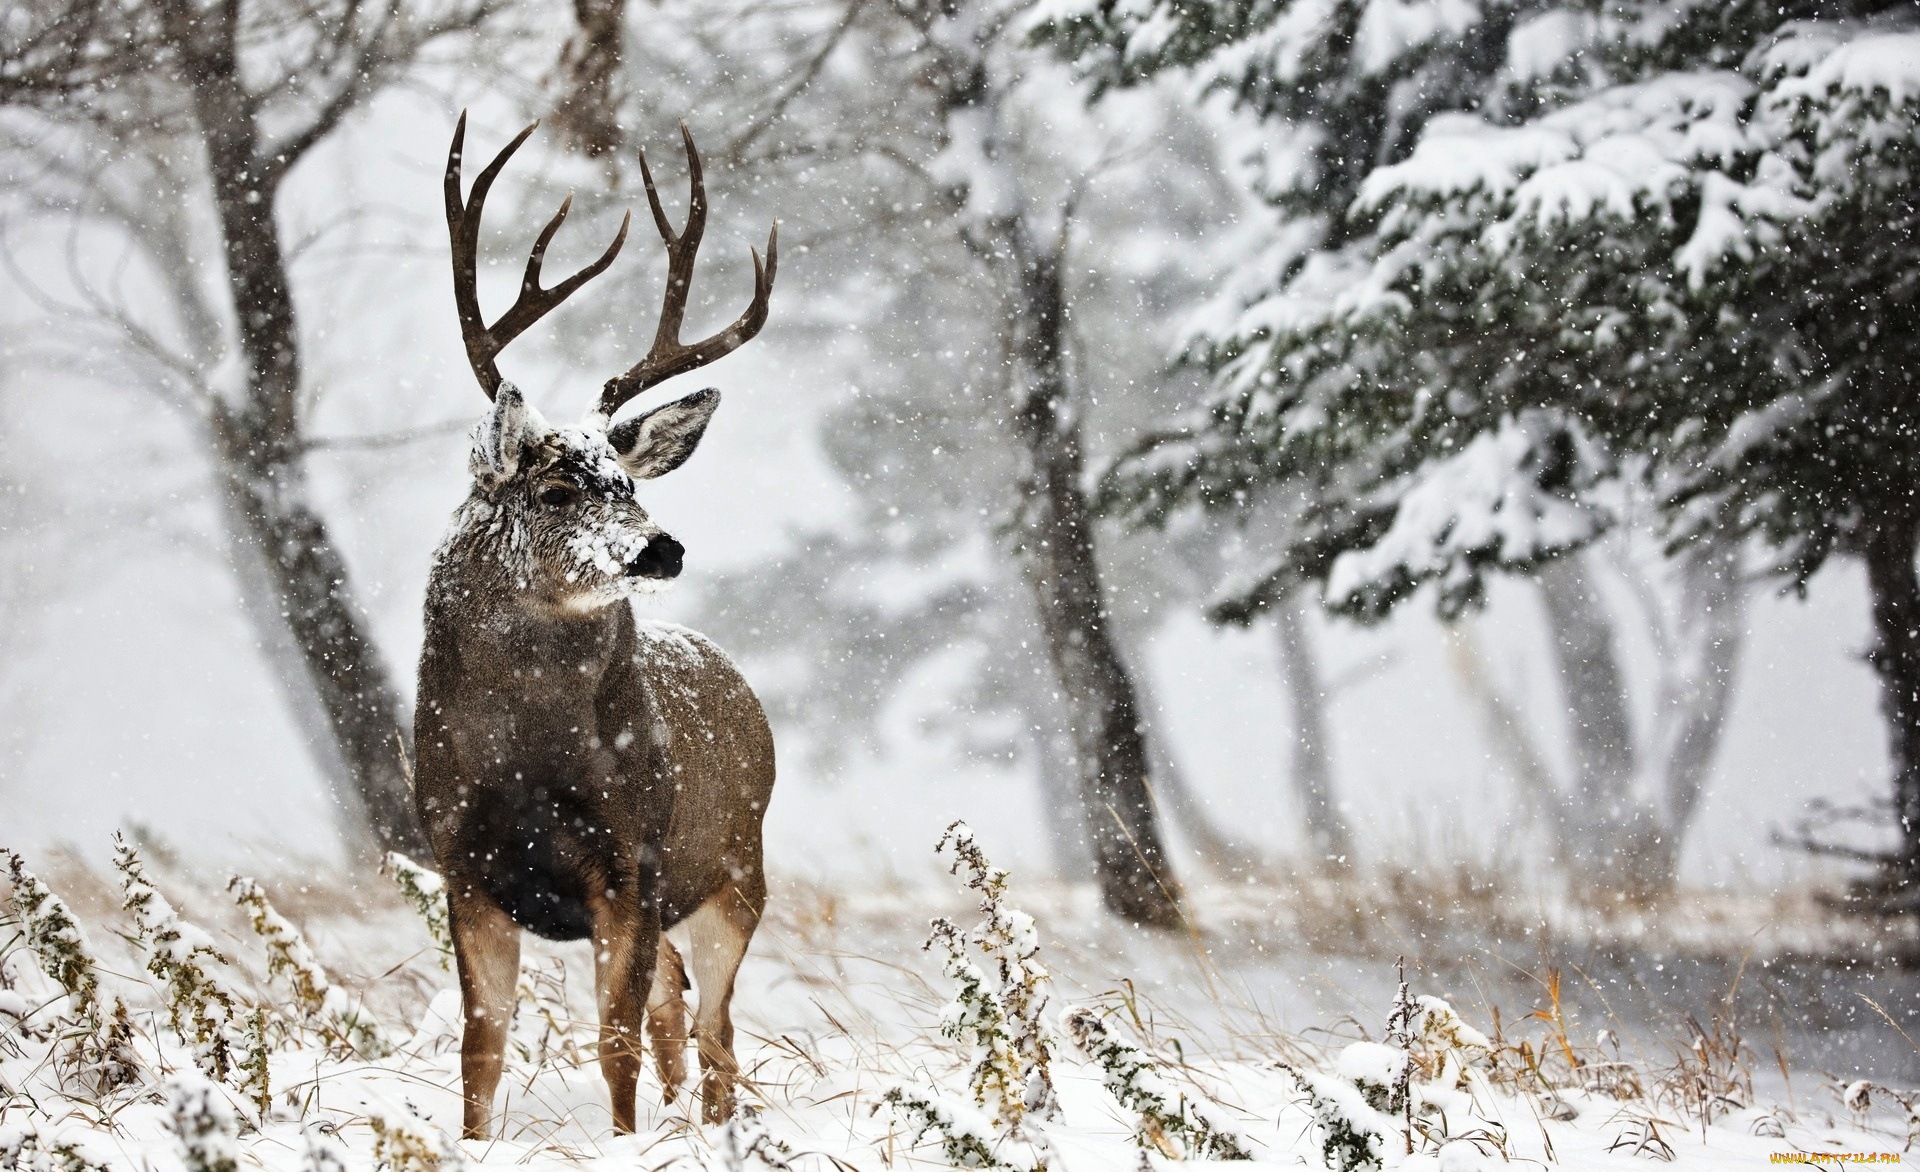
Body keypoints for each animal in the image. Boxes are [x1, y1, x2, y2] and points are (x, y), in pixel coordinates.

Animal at [418, 114, 779, 1137]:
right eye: (556, 487)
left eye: (628, 482)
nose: (662, 547)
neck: (528, 764)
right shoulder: (462, 865)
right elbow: (480, 1047)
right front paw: (474, 1146)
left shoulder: (632, 864)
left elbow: (612, 1042)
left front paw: (625, 1144)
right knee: (675, 1015)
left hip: (736, 873)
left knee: (715, 1031)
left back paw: (714, 1131)